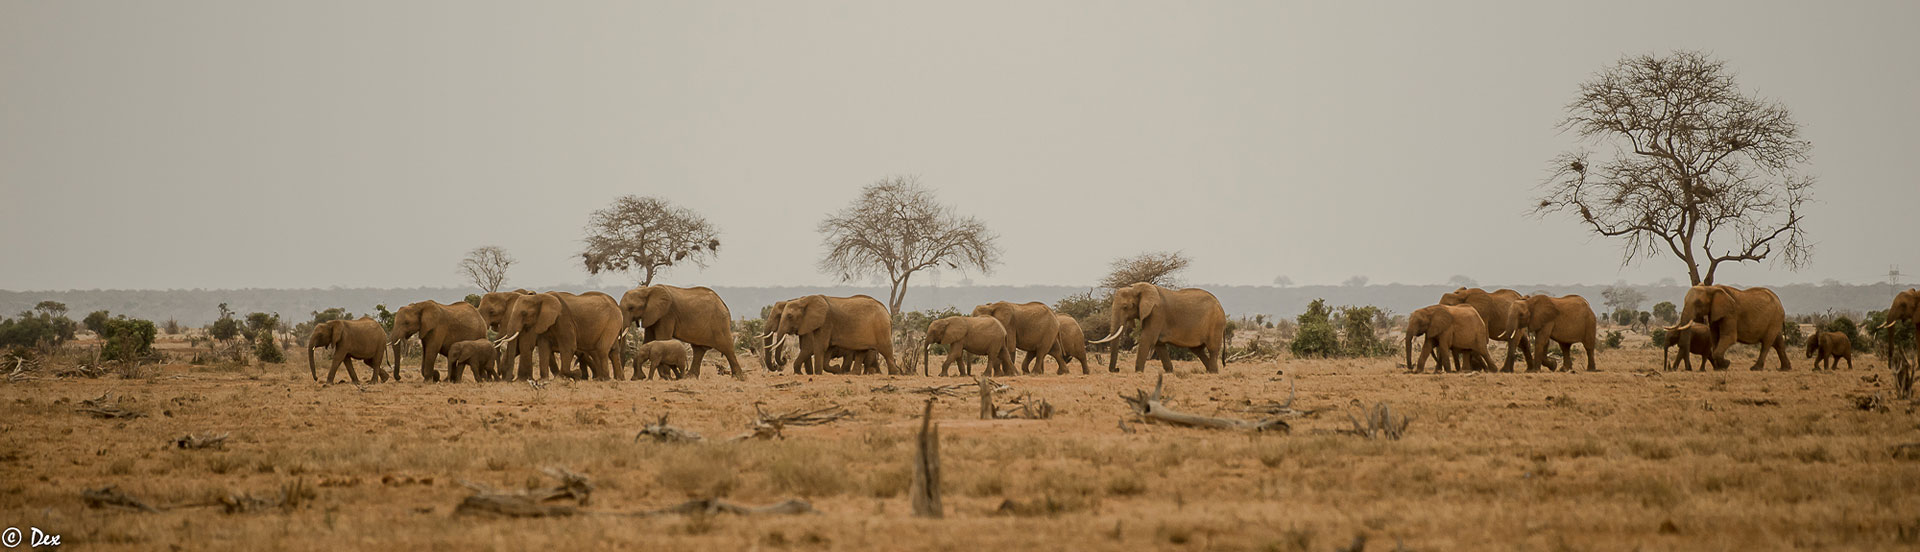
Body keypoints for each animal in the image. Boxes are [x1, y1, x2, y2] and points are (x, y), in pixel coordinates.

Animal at [768, 295, 902, 377]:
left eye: (790, 316)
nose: (783, 359)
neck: (805, 300)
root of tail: (887, 313)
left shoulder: (825, 321)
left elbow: (819, 346)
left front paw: (818, 374)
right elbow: (824, 349)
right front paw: (835, 370)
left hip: (881, 328)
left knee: (886, 351)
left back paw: (894, 374)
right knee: (861, 352)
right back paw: (852, 374)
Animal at [1090, 281, 1221, 373]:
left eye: (1126, 307)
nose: (1117, 369)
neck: (1138, 288)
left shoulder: (1156, 312)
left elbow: (1147, 338)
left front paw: (1138, 372)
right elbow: (1159, 343)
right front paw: (1169, 371)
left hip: (1215, 324)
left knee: (1212, 349)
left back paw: (1213, 372)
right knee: (1197, 350)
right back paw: (1209, 370)